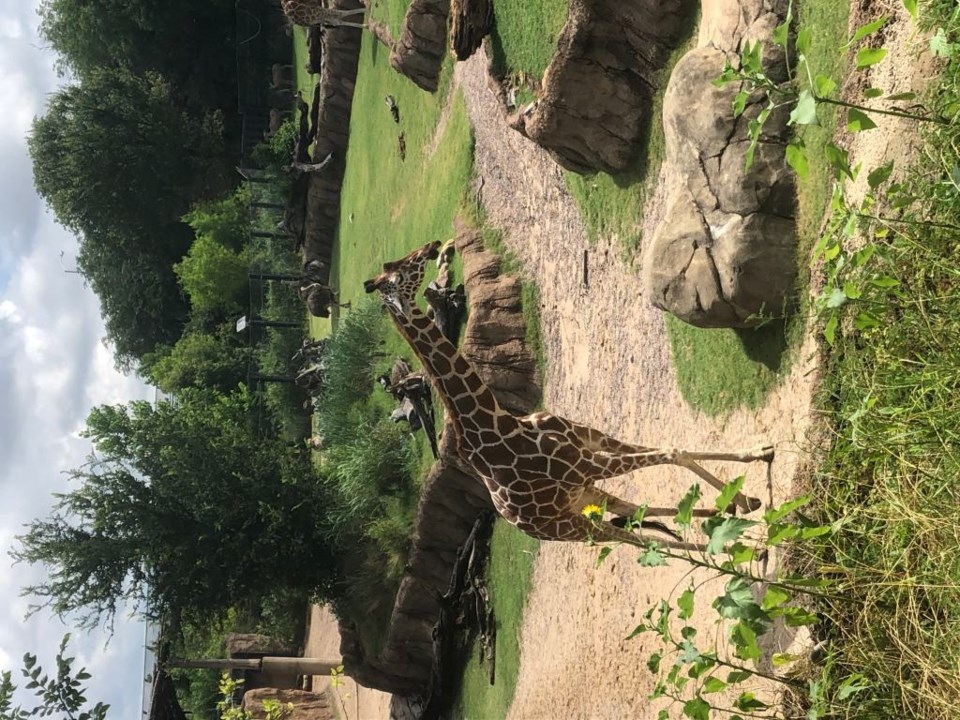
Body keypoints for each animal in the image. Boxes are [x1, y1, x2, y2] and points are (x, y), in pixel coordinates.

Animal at [364, 242, 776, 552]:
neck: (500, 423)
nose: (436, 245)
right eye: (403, 271)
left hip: (583, 497)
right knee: (634, 539)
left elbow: (670, 449)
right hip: (570, 525)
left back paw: (729, 514)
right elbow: (673, 451)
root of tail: (527, 526)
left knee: (634, 515)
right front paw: (747, 497)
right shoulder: (585, 464)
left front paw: (756, 462)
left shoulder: (588, 444)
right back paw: (739, 547)